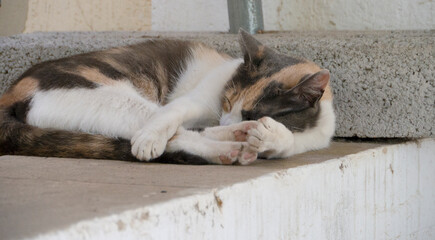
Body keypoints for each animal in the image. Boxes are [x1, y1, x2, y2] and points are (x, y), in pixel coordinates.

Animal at [0, 30, 338, 165]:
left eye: (252, 112)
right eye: (228, 101)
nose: (232, 118)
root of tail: (12, 92)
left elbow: (284, 141)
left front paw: (269, 135)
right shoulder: (193, 102)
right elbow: (171, 119)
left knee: (189, 133)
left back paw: (237, 137)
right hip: (114, 99)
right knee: (172, 133)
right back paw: (229, 147)